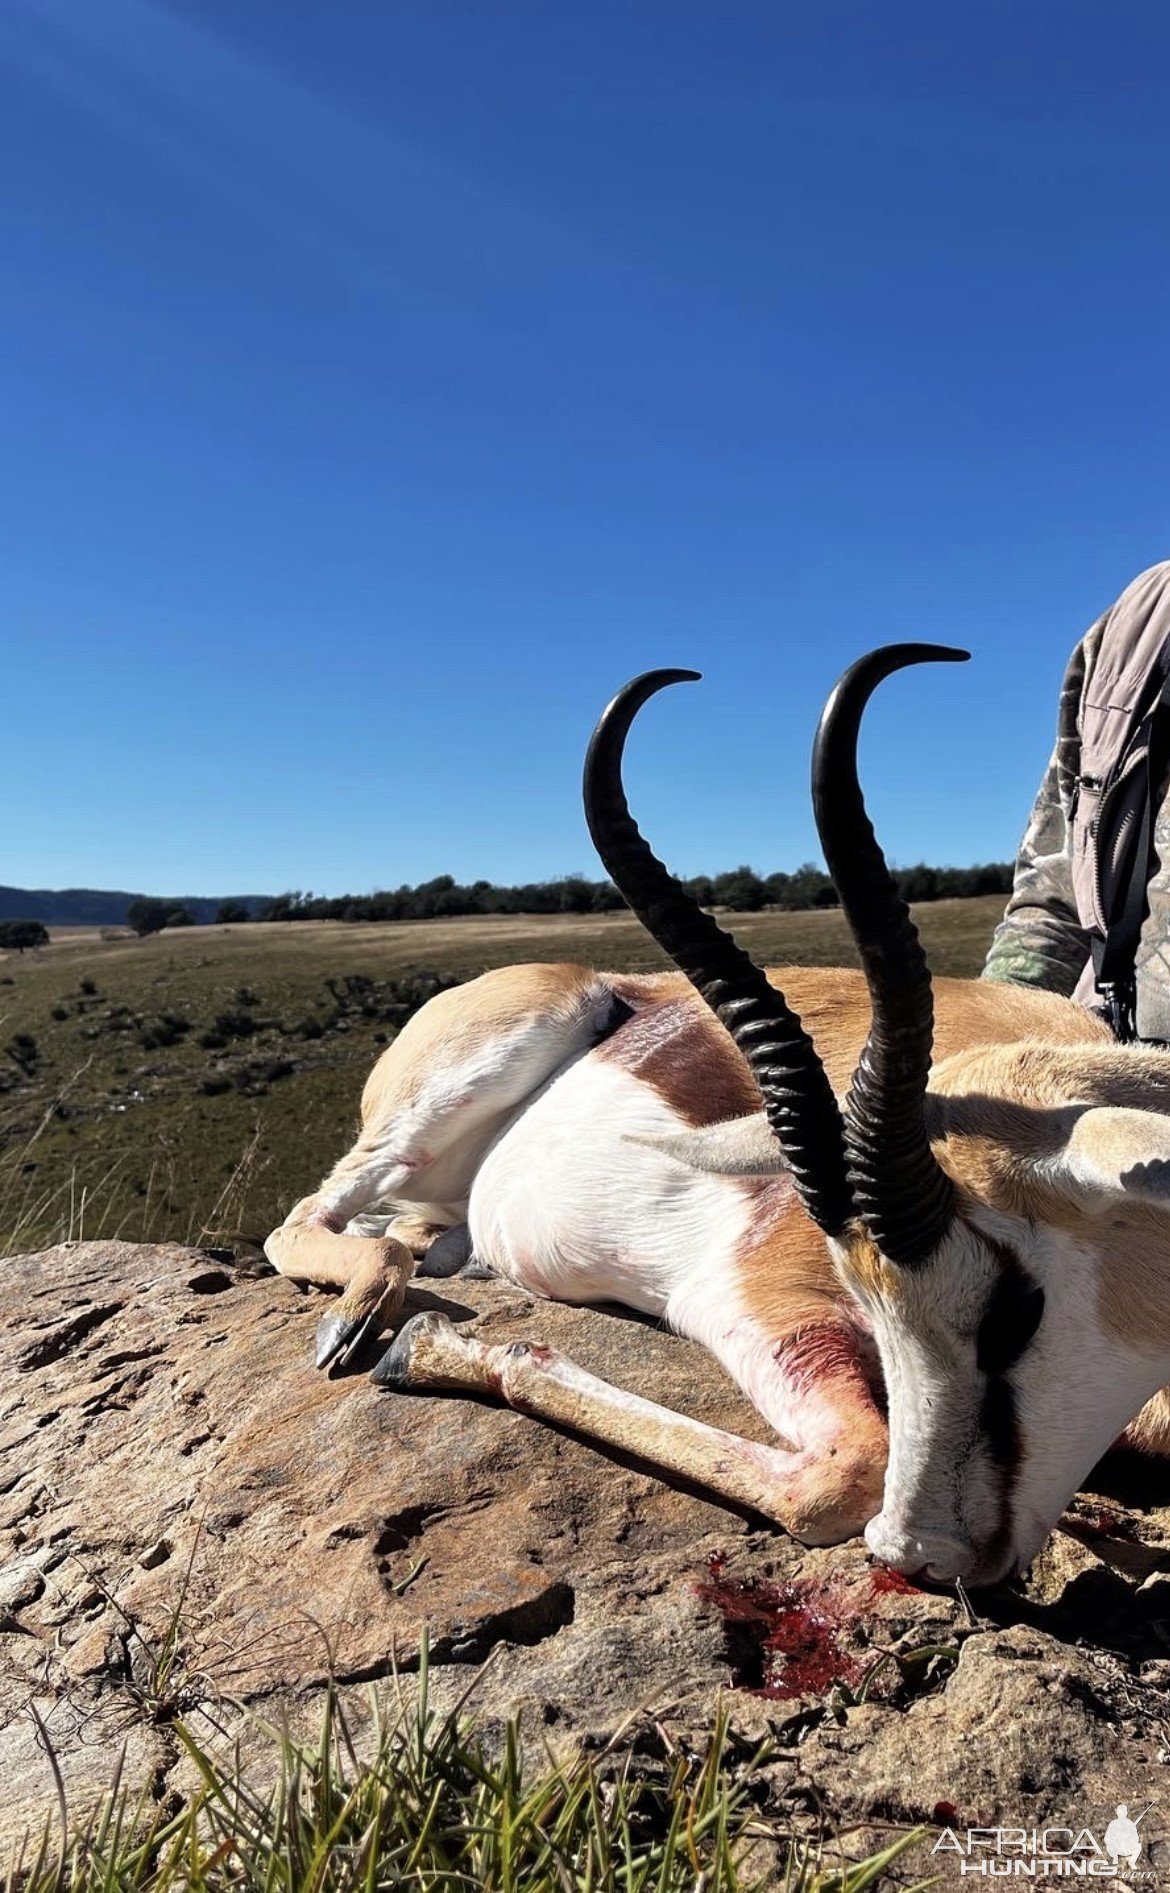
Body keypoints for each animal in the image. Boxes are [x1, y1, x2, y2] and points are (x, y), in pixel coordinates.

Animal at [266, 647, 1170, 1582]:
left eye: (1017, 1310)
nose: (919, 1556)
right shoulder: (749, 1292)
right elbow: (840, 1475)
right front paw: (442, 1347)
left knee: (403, 1234)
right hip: (450, 1093)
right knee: (304, 1216)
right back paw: (364, 1324)